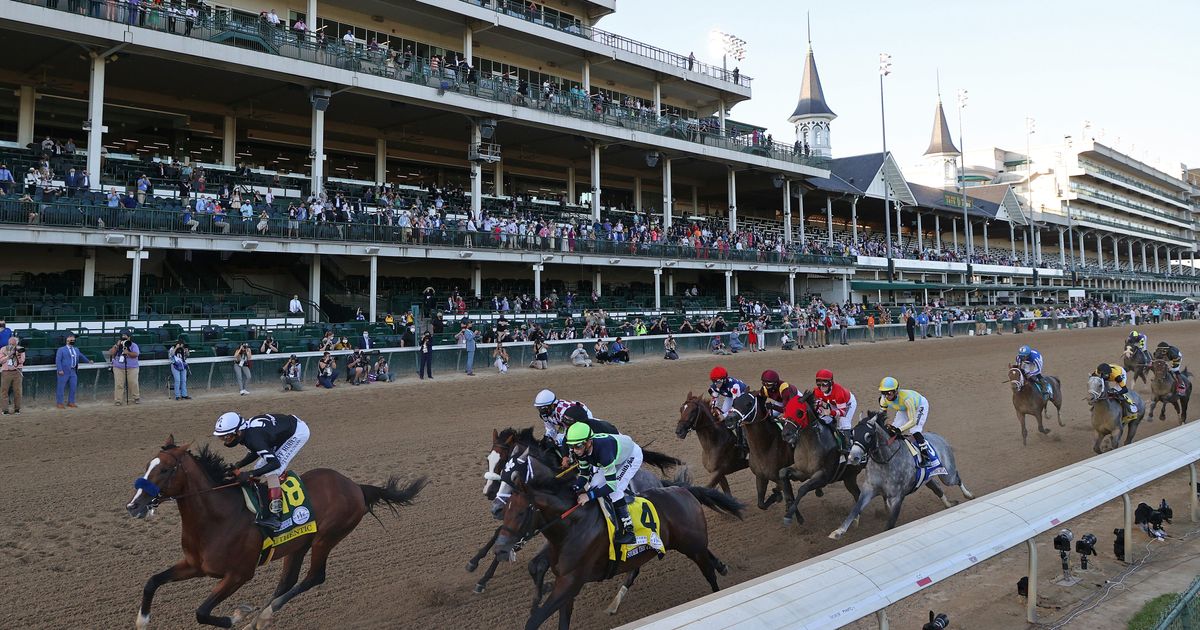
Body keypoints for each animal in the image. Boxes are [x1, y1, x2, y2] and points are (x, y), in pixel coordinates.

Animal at [125, 434, 427, 628]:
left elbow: (201, 612)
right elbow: (152, 581)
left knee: (314, 577)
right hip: (299, 544)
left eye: (165, 470)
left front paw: (238, 615)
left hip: (326, 538)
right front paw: (142, 620)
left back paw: (264, 615)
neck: (218, 518)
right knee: (288, 581)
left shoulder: (239, 574)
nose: (133, 505)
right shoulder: (194, 565)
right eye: (147, 465)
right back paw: (260, 619)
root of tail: (355, 486)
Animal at [489, 448, 739, 624]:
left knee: (705, 570)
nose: (500, 549)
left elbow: (535, 617)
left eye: (521, 512)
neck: (572, 523)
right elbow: (537, 569)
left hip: (688, 545)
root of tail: (681, 489)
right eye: (508, 510)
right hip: (680, 544)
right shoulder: (565, 580)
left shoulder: (571, 582)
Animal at [777, 388, 864, 525]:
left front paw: (789, 515)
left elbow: (803, 489)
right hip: (849, 477)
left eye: (799, 413)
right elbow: (782, 472)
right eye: (785, 410)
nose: (786, 434)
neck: (810, 444)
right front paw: (791, 508)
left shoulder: (824, 476)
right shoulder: (802, 471)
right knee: (857, 494)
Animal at [830, 412, 979, 540]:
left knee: (957, 478)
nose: (853, 457)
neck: (885, 461)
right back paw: (949, 504)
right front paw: (838, 532)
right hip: (928, 479)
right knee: (937, 489)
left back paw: (969, 495)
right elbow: (855, 509)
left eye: (868, 436)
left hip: (947, 476)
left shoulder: (896, 498)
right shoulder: (870, 489)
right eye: (853, 434)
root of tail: (938, 436)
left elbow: (890, 524)